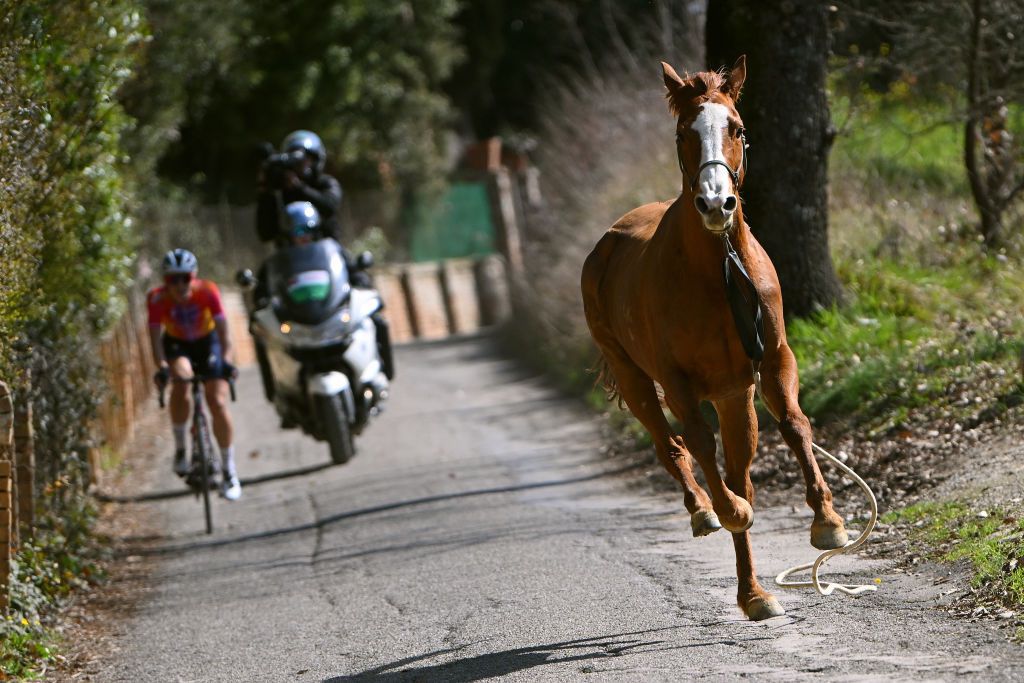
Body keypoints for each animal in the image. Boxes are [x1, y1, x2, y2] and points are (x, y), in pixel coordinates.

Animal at [581, 57, 851, 626]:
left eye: (738, 128)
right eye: (683, 132)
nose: (715, 203)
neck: (719, 272)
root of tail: (608, 242)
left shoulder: (769, 363)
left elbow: (794, 426)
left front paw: (828, 521)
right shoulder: (680, 384)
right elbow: (705, 452)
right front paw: (728, 510)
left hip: (734, 398)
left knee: (738, 467)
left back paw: (754, 593)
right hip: (636, 380)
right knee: (672, 446)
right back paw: (705, 512)